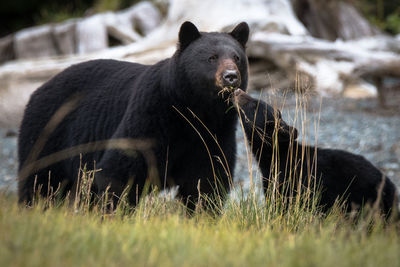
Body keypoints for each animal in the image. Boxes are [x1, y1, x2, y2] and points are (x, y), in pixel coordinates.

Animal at [19, 21, 250, 209]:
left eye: (237, 58)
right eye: (212, 58)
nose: (231, 76)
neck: (193, 110)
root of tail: (38, 90)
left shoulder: (214, 133)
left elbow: (207, 180)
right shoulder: (150, 116)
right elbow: (120, 169)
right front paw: (116, 212)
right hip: (48, 134)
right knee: (41, 181)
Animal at [234, 89, 396, 217]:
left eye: (254, 104)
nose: (237, 91)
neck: (273, 158)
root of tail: (392, 187)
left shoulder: (289, 181)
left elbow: (282, 206)